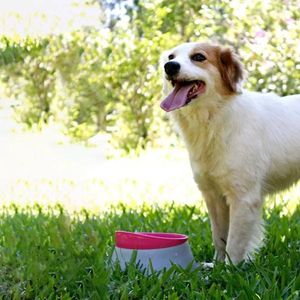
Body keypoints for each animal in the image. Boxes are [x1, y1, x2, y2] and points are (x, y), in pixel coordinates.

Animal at [161, 41, 300, 264]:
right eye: (170, 57)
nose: (170, 67)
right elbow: (219, 236)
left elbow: (234, 243)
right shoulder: (214, 195)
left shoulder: (243, 198)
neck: (215, 119)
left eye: (199, 57)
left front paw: (230, 268)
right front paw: (216, 264)